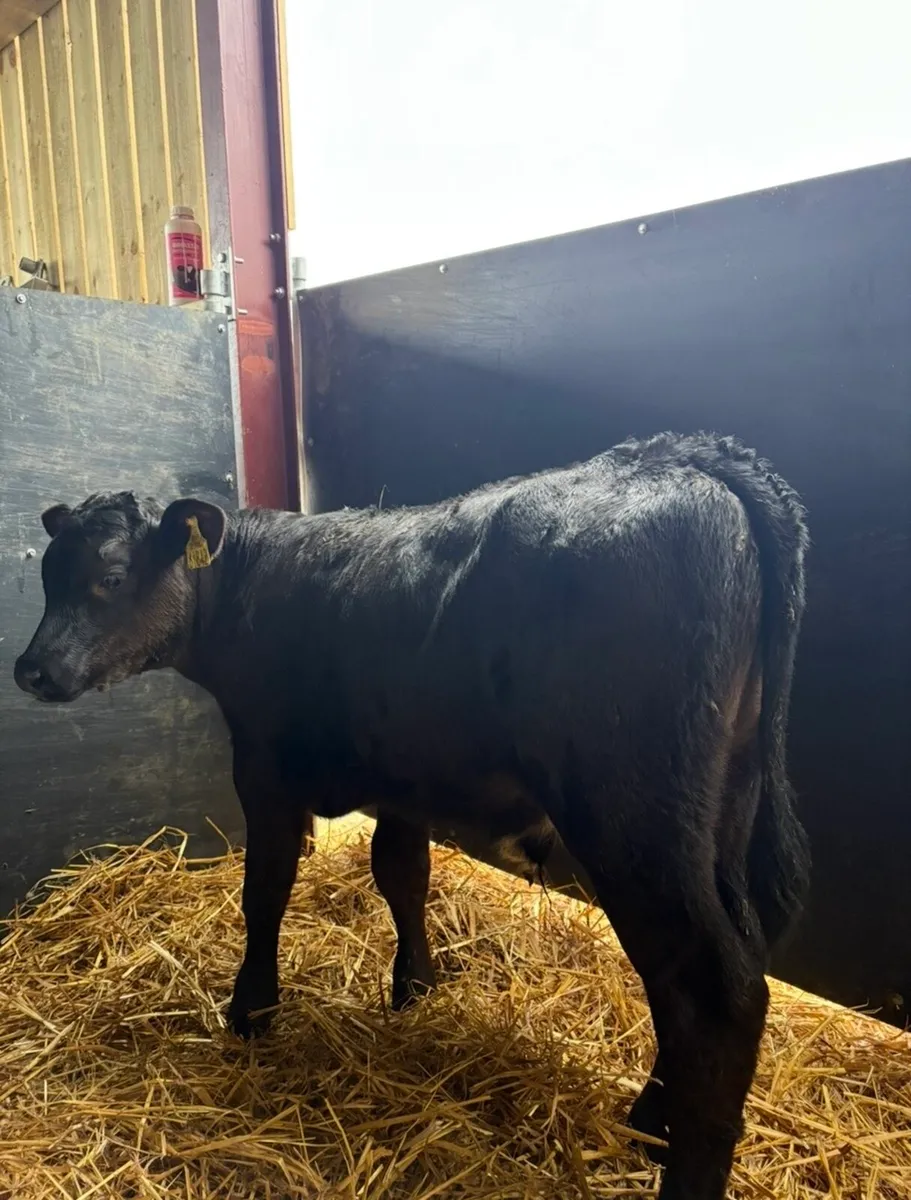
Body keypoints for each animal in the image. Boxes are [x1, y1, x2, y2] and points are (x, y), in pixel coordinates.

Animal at [14, 433, 810, 1200]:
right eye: (48, 576)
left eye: (111, 578)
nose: (30, 670)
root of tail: (684, 455)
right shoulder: (401, 780)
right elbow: (403, 877)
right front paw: (415, 987)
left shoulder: (264, 769)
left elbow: (265, 891)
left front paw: (251, 1012)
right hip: (720, 812)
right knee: (725, 958)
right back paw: (649, 1119)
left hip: (634, 814)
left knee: (710, 988)